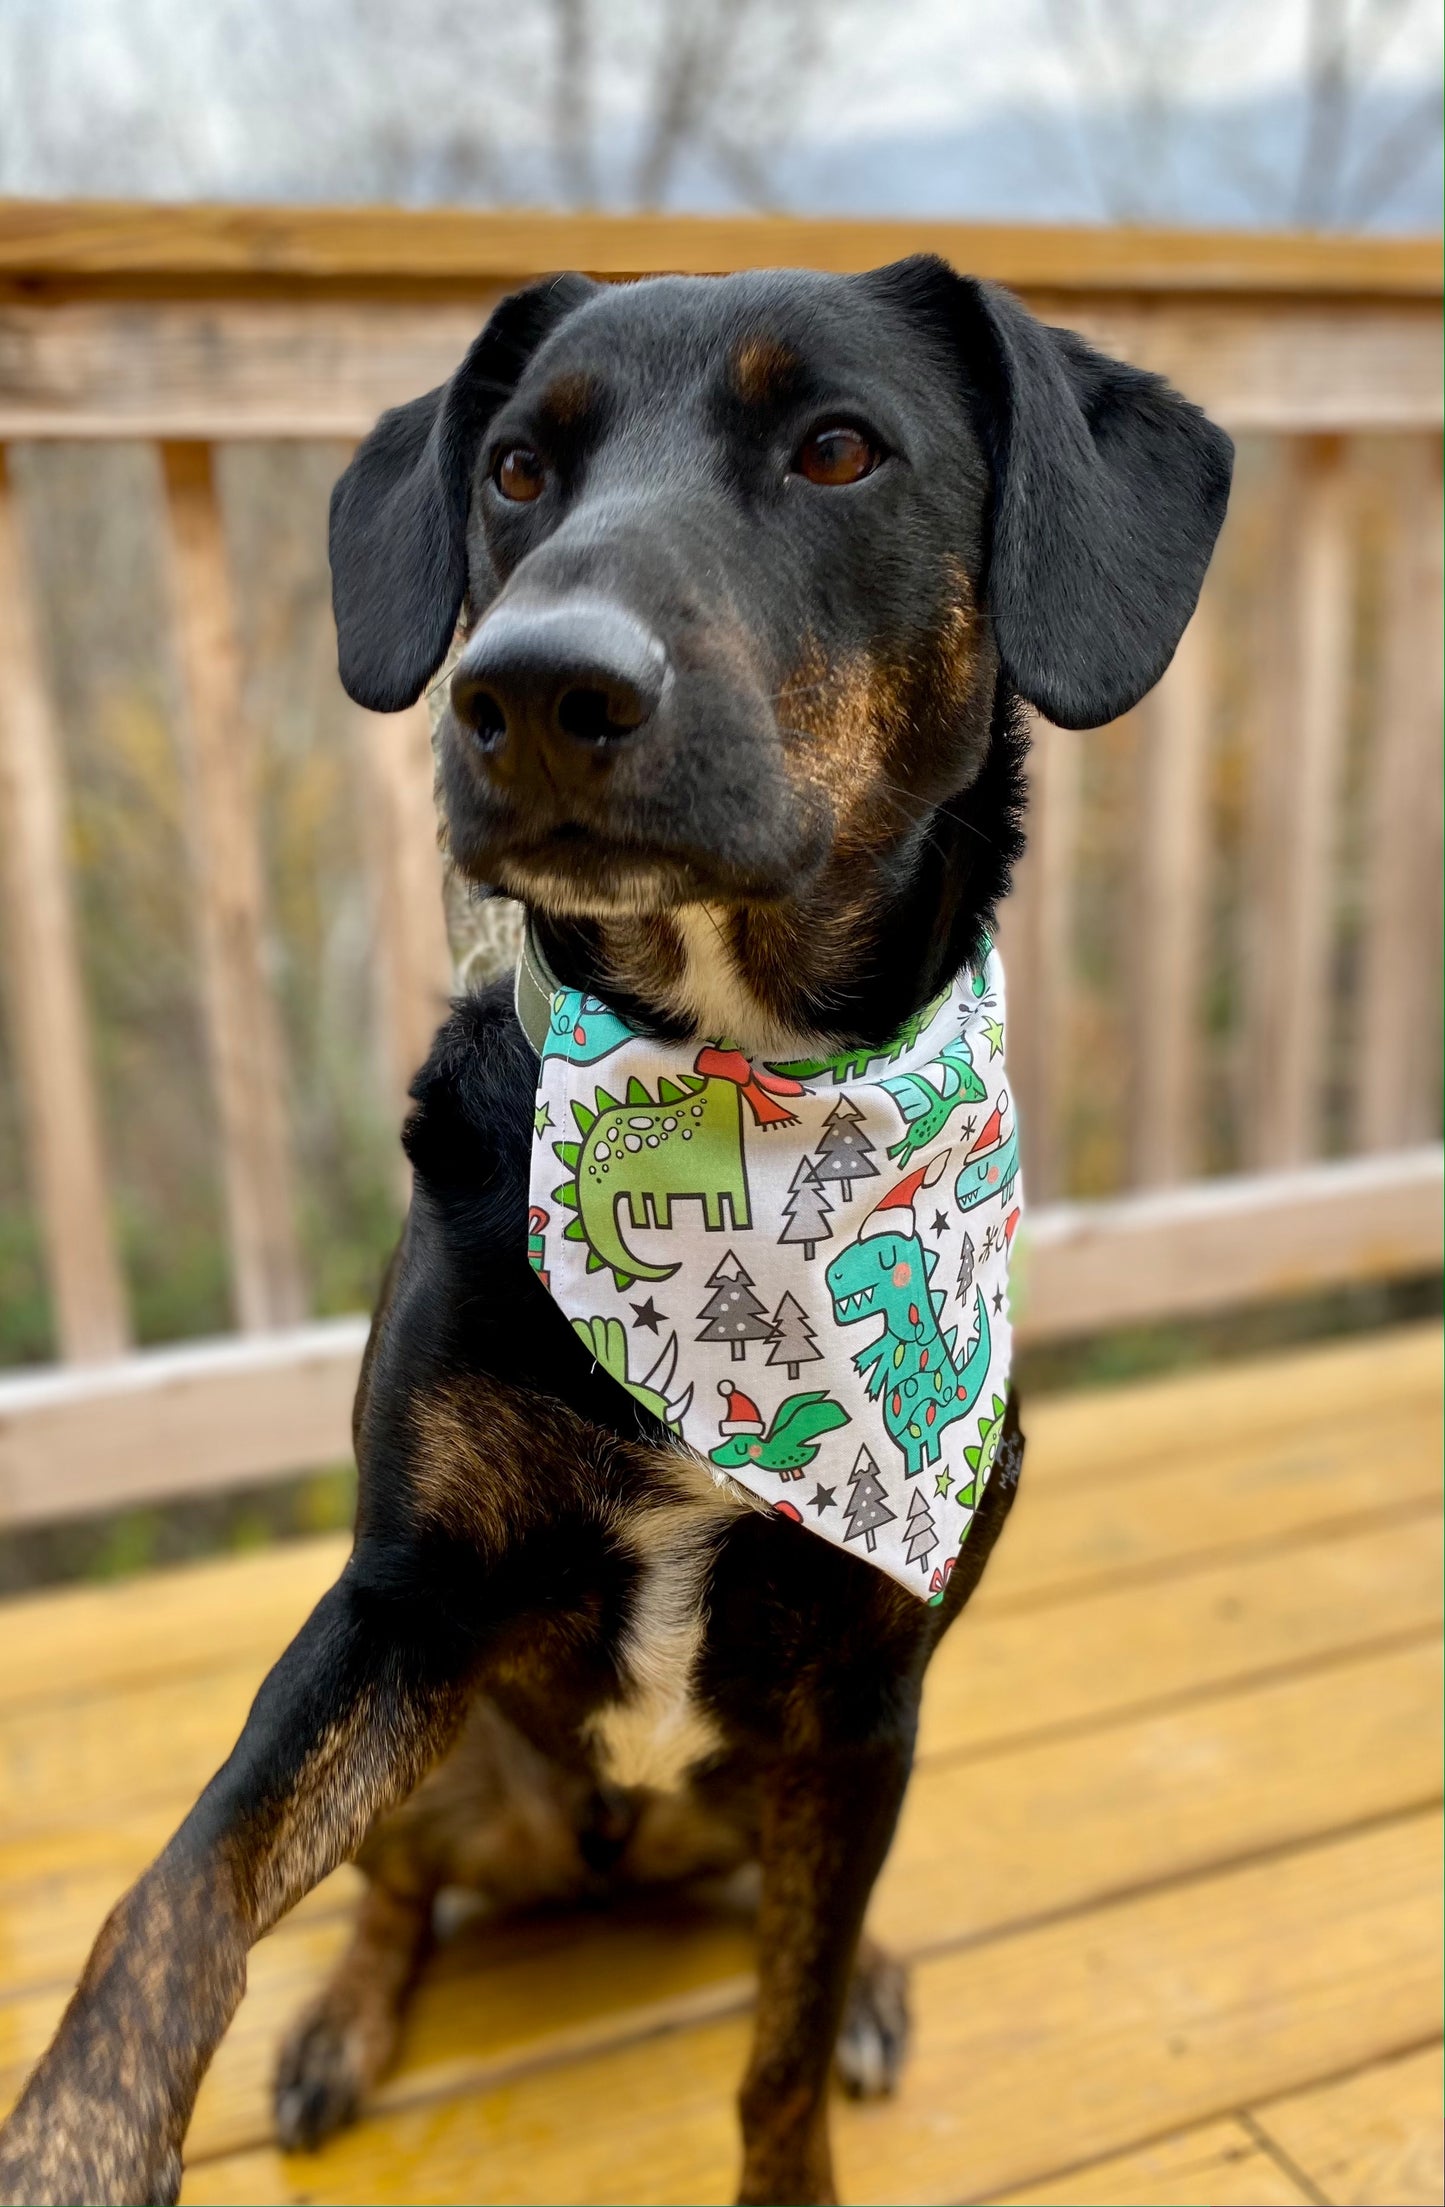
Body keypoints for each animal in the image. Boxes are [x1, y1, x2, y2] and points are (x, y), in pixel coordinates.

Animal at [0, 262, 1235, 2207]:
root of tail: (598, 1844)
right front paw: (76, 2147)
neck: (730, 1080)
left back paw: (867, 1969)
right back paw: (343, 2020)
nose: (527, 687)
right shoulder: (399, 1606)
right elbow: (176, 1897)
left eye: (837, 449)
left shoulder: (865, 1699)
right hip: (442, 1780)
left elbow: (779, 2050)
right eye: (515, 469)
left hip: (804, 1783)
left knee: (800, 1924)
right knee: (387, 1900)